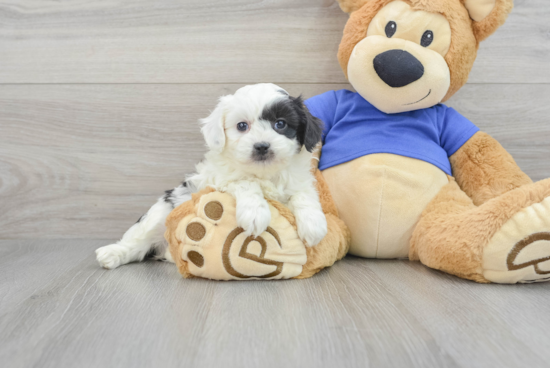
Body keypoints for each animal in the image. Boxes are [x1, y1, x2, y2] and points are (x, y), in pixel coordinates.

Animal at [96, 83, 328, 270]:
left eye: (280, 124)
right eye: (242, 126)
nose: (262, 146)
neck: (264, 172)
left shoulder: (299, 181)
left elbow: (304, 195)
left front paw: (313, 224)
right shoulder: (218, 181)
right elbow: (245, 182)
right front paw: (255, 213)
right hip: (161, 212)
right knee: (137, 241)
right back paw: (112, 254)